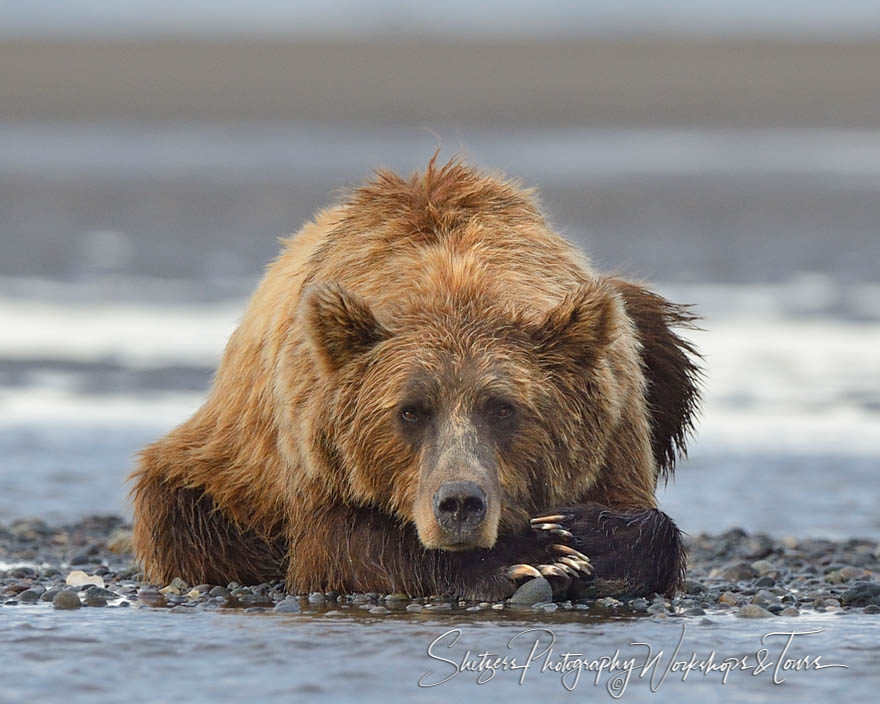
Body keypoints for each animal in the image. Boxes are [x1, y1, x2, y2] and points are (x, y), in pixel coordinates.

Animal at [129, 160, 700, 600]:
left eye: (503, 408)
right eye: (410, 410)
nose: (460, 503)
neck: (454, 277)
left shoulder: (615, 424)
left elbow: (639, 520)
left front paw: (586, 536)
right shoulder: (313, 443)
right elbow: (344, 546)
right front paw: (529, 556)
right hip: (225, 473)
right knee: (181, 514)